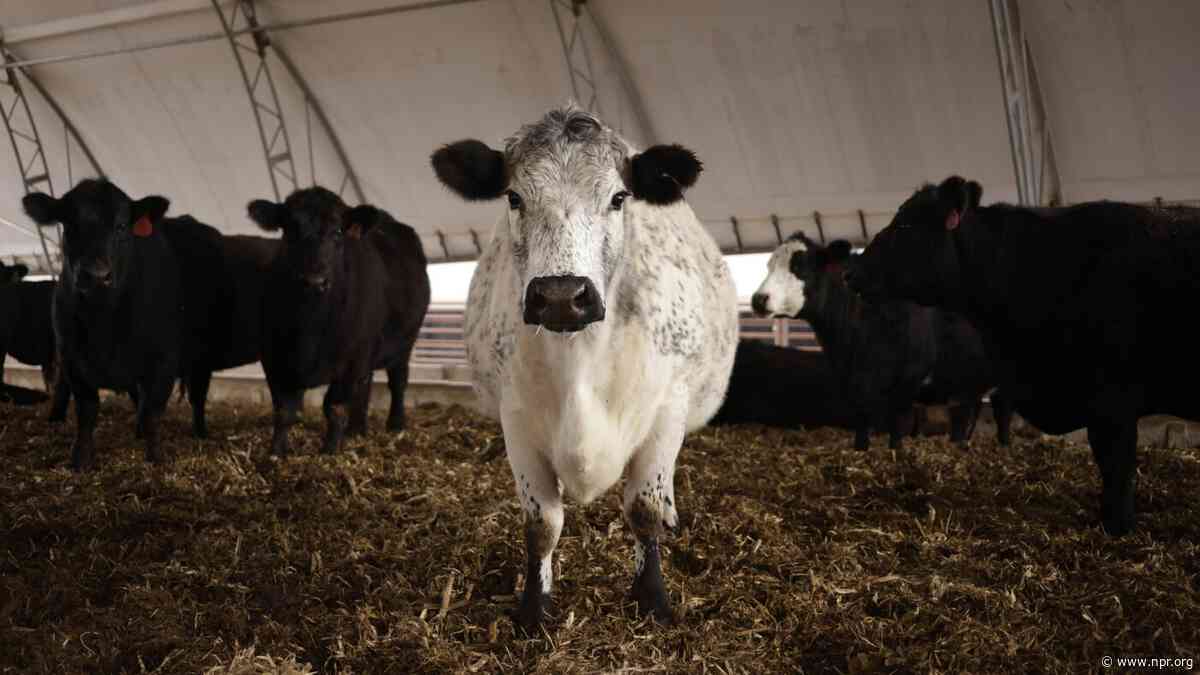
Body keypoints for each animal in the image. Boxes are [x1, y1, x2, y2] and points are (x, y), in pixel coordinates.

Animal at [246, 187, 430, 456]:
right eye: (290, 229)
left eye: (338, 231)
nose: (314, 281)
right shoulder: (274, 358)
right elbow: (284, 410)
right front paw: (276, 452)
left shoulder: (351, 360)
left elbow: (334, 407)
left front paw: (330, 451)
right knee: (366, 386)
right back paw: (356, 429)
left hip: (405, 342)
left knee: (398, 381)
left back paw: (396, 424)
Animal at [431, 106, 738, 629]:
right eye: (514, 197)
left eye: (618, 197)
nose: (560, 296)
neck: (579, 361)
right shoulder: (516, 420)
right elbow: (542, 524)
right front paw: (534, 608)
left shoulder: (667, 411)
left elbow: (643, 510)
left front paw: (653, 599)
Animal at [753, 235, 1011, 450]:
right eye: (769, 265)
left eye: (799, 266)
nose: (758, 299)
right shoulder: (854, 387)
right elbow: (861, 430)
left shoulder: (906, 383)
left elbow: (896, 431)